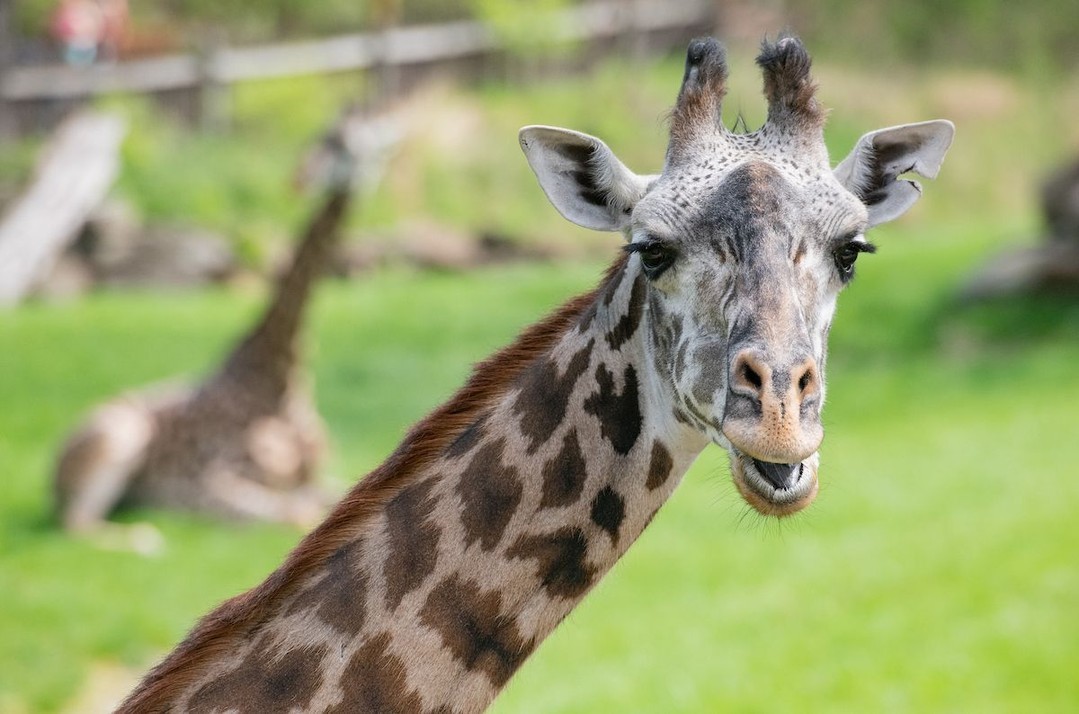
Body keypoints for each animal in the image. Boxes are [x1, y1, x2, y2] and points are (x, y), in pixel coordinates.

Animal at [53, 105, 388, 530]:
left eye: (355, 142)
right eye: (326, 138)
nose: (300, 178)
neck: (283, 381)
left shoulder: (317, 478)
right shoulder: (210, 484)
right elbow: (296, 514)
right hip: (120, 438)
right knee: (79, 522)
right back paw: (144, 535)